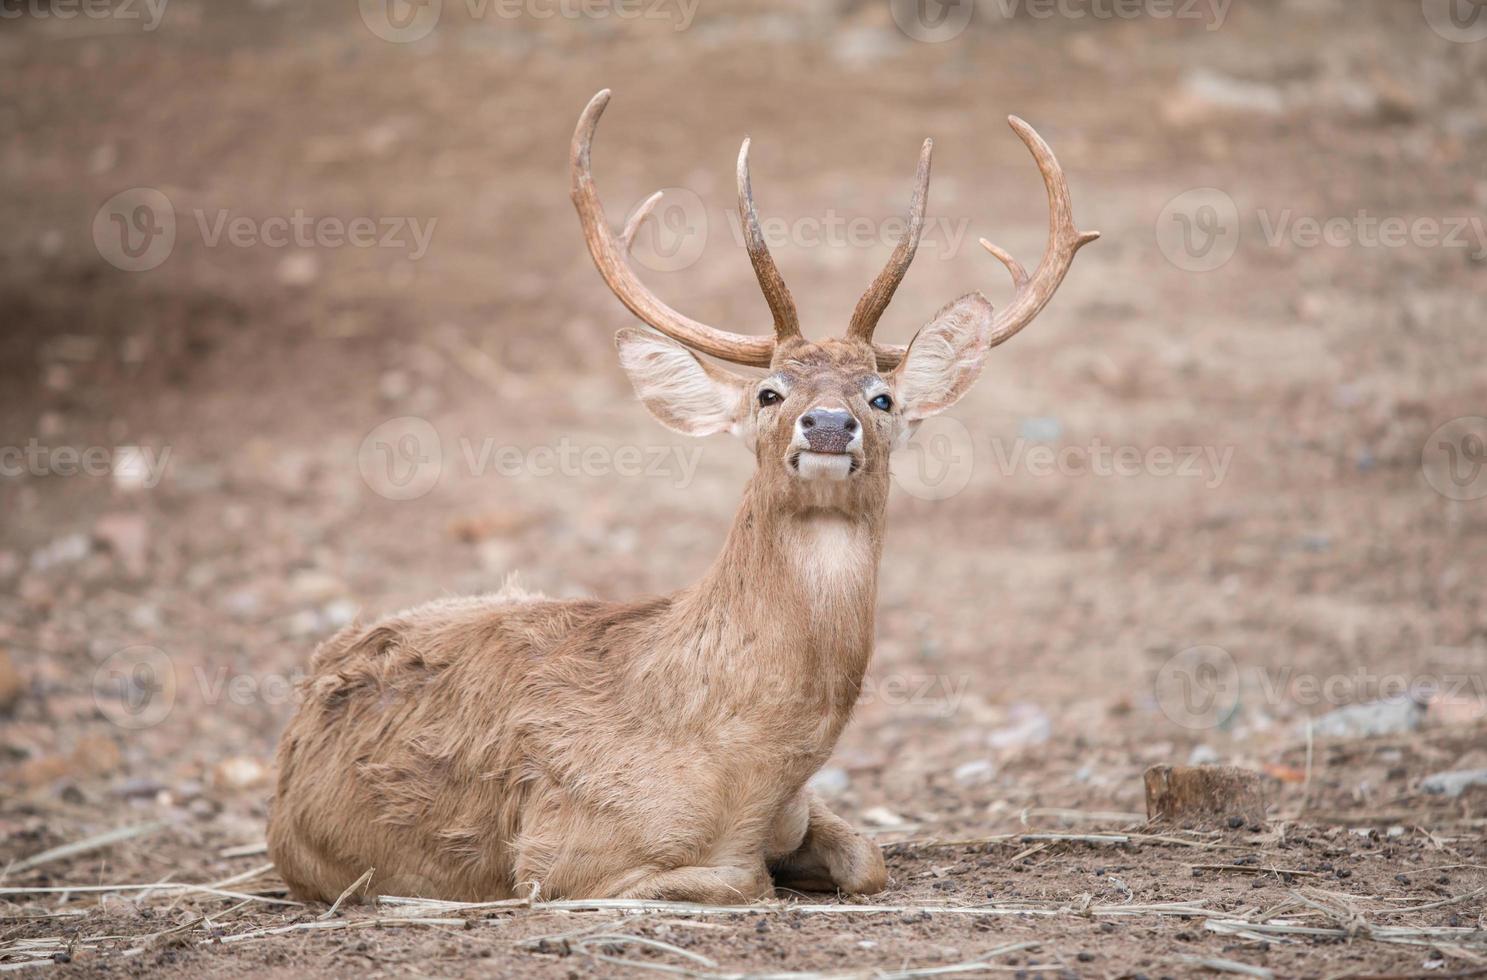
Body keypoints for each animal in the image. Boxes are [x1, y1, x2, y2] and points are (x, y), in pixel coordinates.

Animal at [267, 89, 1100, 904]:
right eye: (769, 391)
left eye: (881, 397)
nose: (829, 424)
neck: (745, 768)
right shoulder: (554, 850)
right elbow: (740, 882)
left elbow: (868, 859)